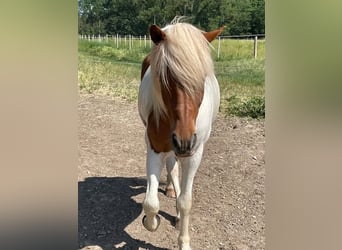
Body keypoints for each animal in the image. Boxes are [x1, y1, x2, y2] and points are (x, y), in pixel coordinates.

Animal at [138, 20, 223, 250]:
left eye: (202, 78)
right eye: (165, 76)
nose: (184, 141)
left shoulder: (194, 154)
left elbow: (186, 202)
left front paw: (184, 242)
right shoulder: (154, 148)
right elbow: (150, 203)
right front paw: (151, 222)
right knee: (172, 167)